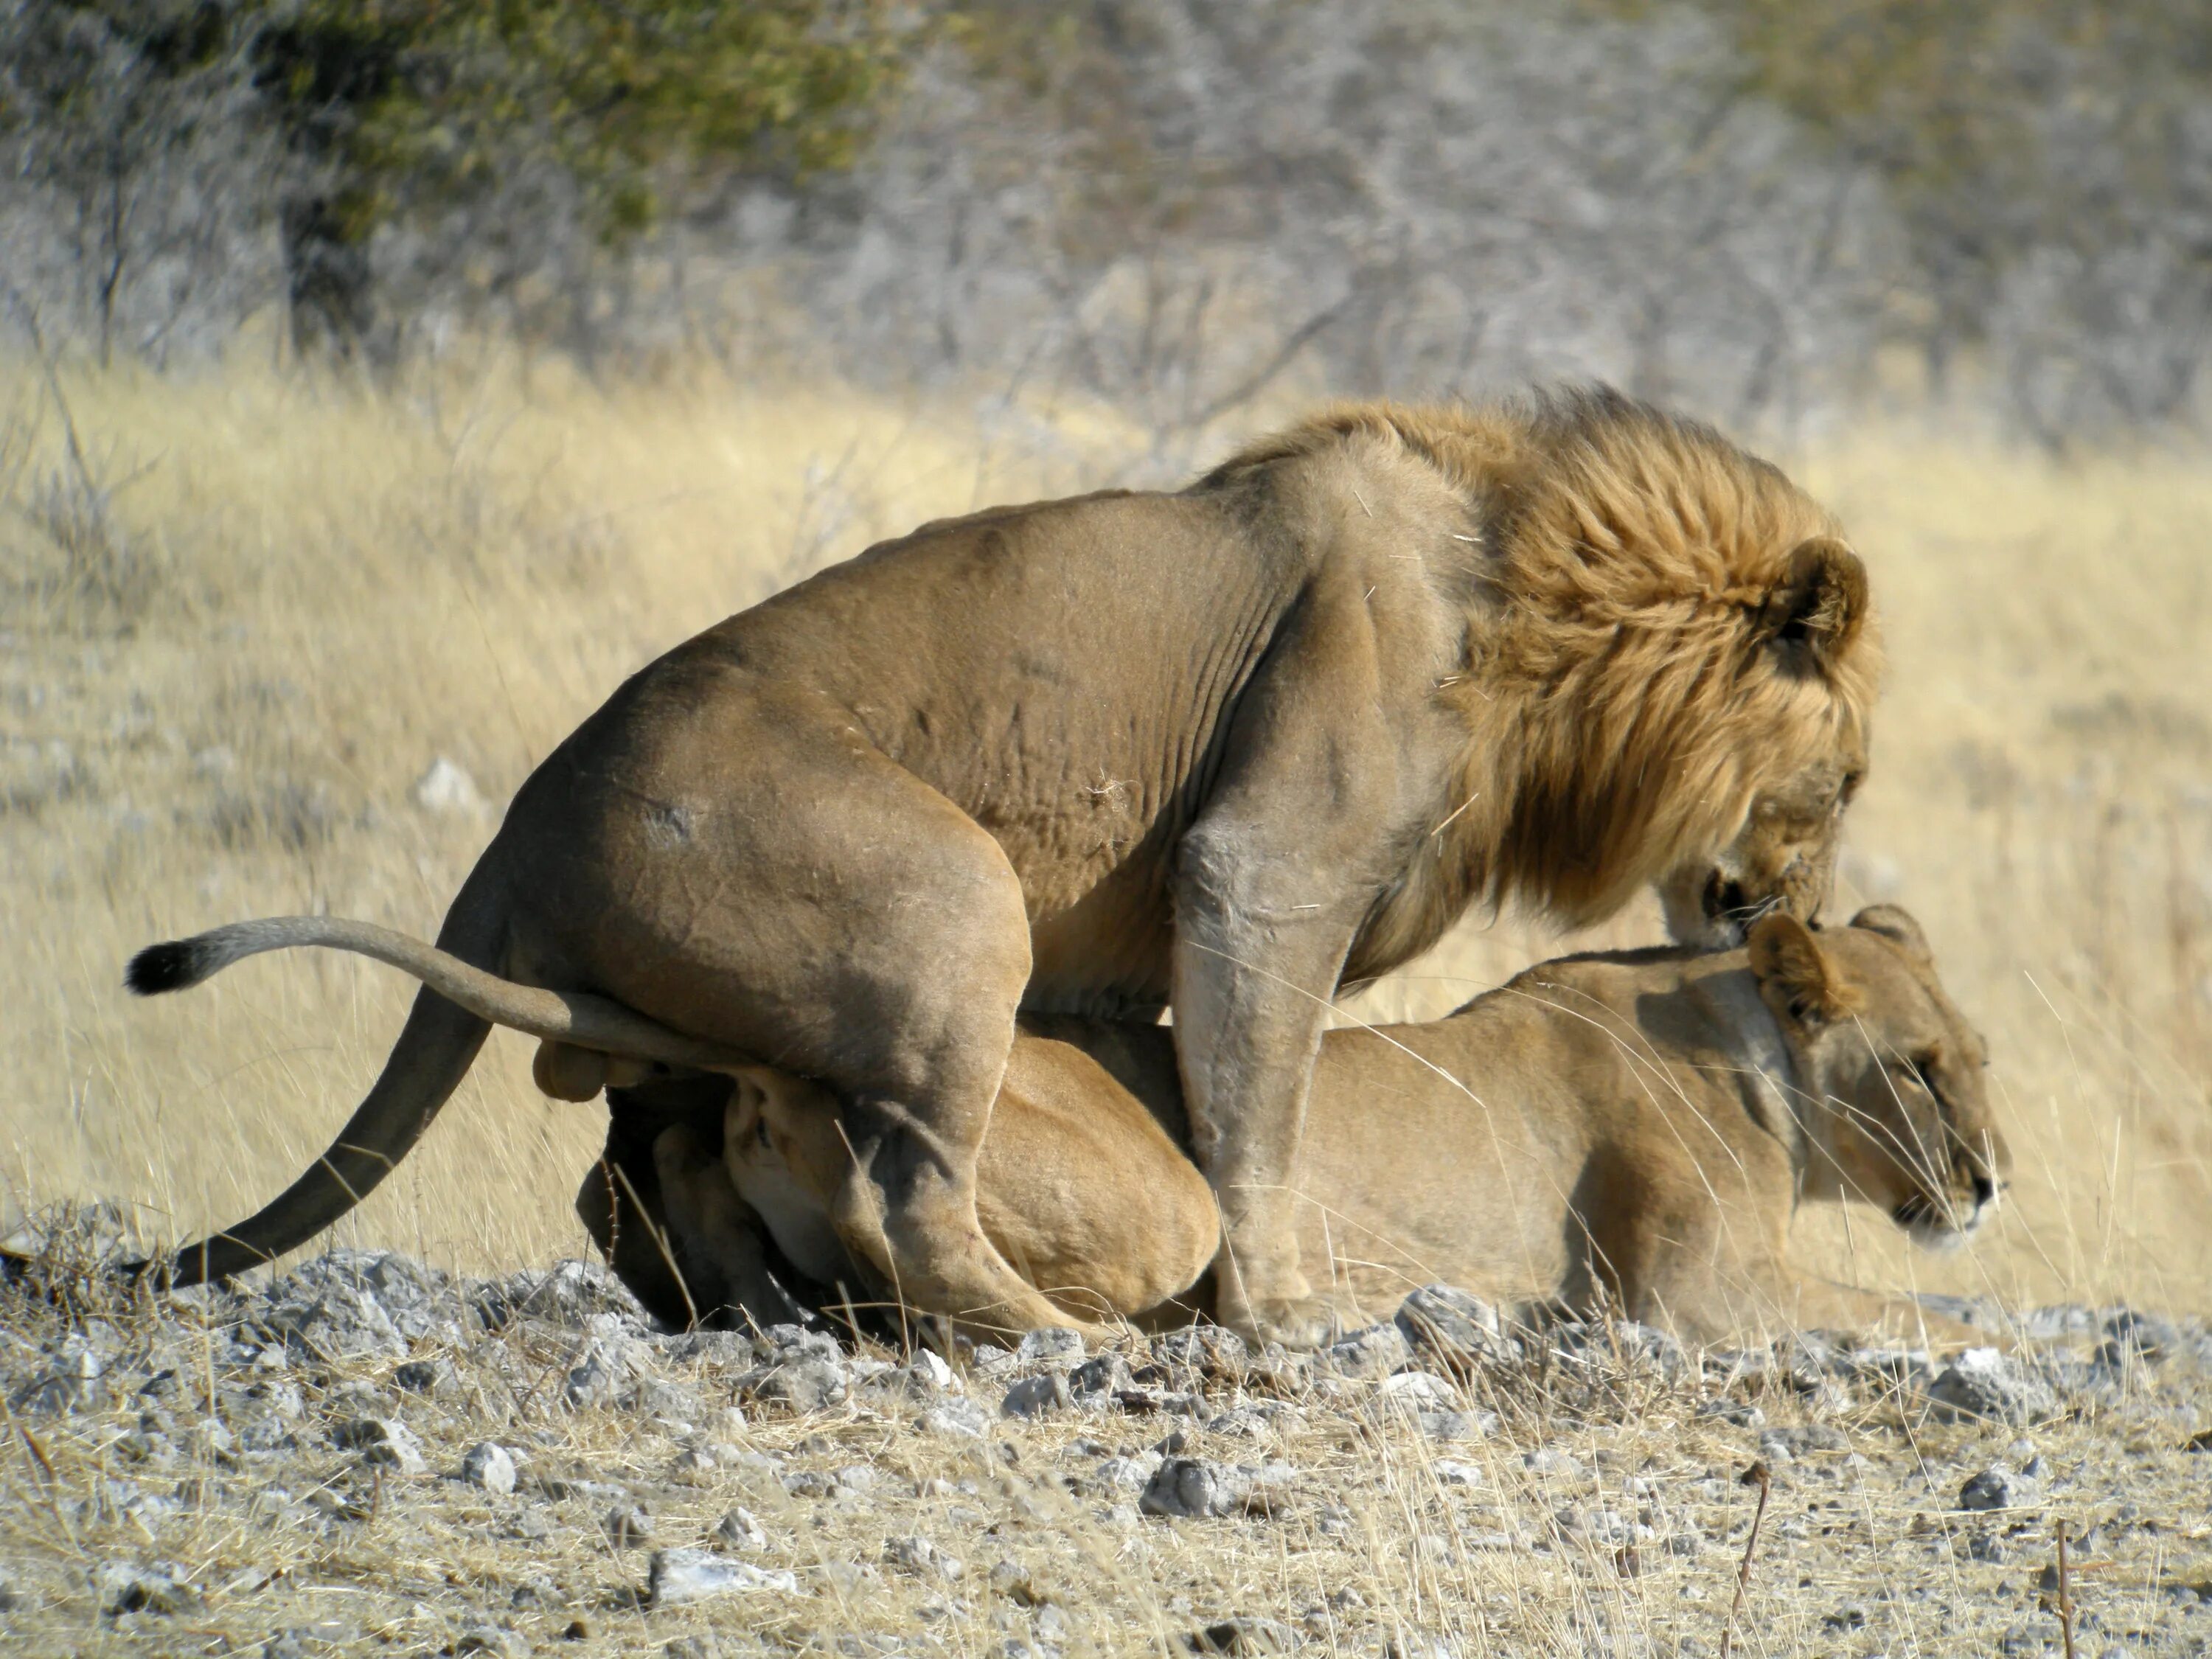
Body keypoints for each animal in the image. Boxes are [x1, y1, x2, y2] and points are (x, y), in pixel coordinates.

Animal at [129, 389, 1876, 1354]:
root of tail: (522, 820)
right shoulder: (1264, 872)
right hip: (950, 897)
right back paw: (1064, 1346)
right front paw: (1282, 1314)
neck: (1546, 627)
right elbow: (1260, 1115)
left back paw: (777, 1317)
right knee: (906, 1192)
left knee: (640, 1172)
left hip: (714, 1013)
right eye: (1847, 779)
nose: (1794, 917)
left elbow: (1188, 1096)